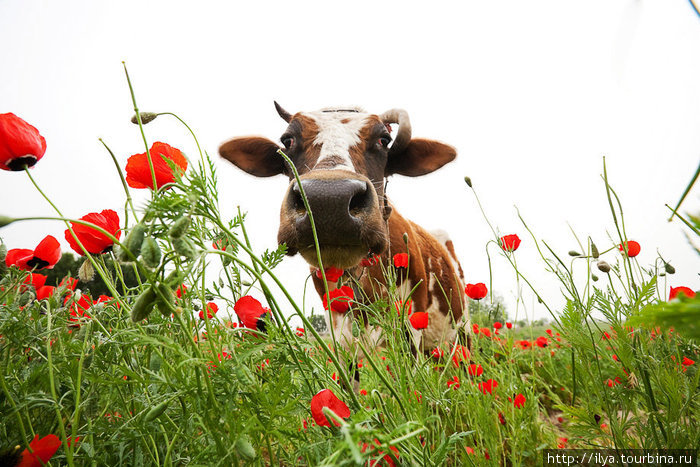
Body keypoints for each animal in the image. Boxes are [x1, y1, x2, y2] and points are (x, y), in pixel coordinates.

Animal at [220, 104, 470, 356]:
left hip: (462, 330)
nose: (328, 199)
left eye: (384, 140)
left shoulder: (410, 326)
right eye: (287, 140)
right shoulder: (339, 334)